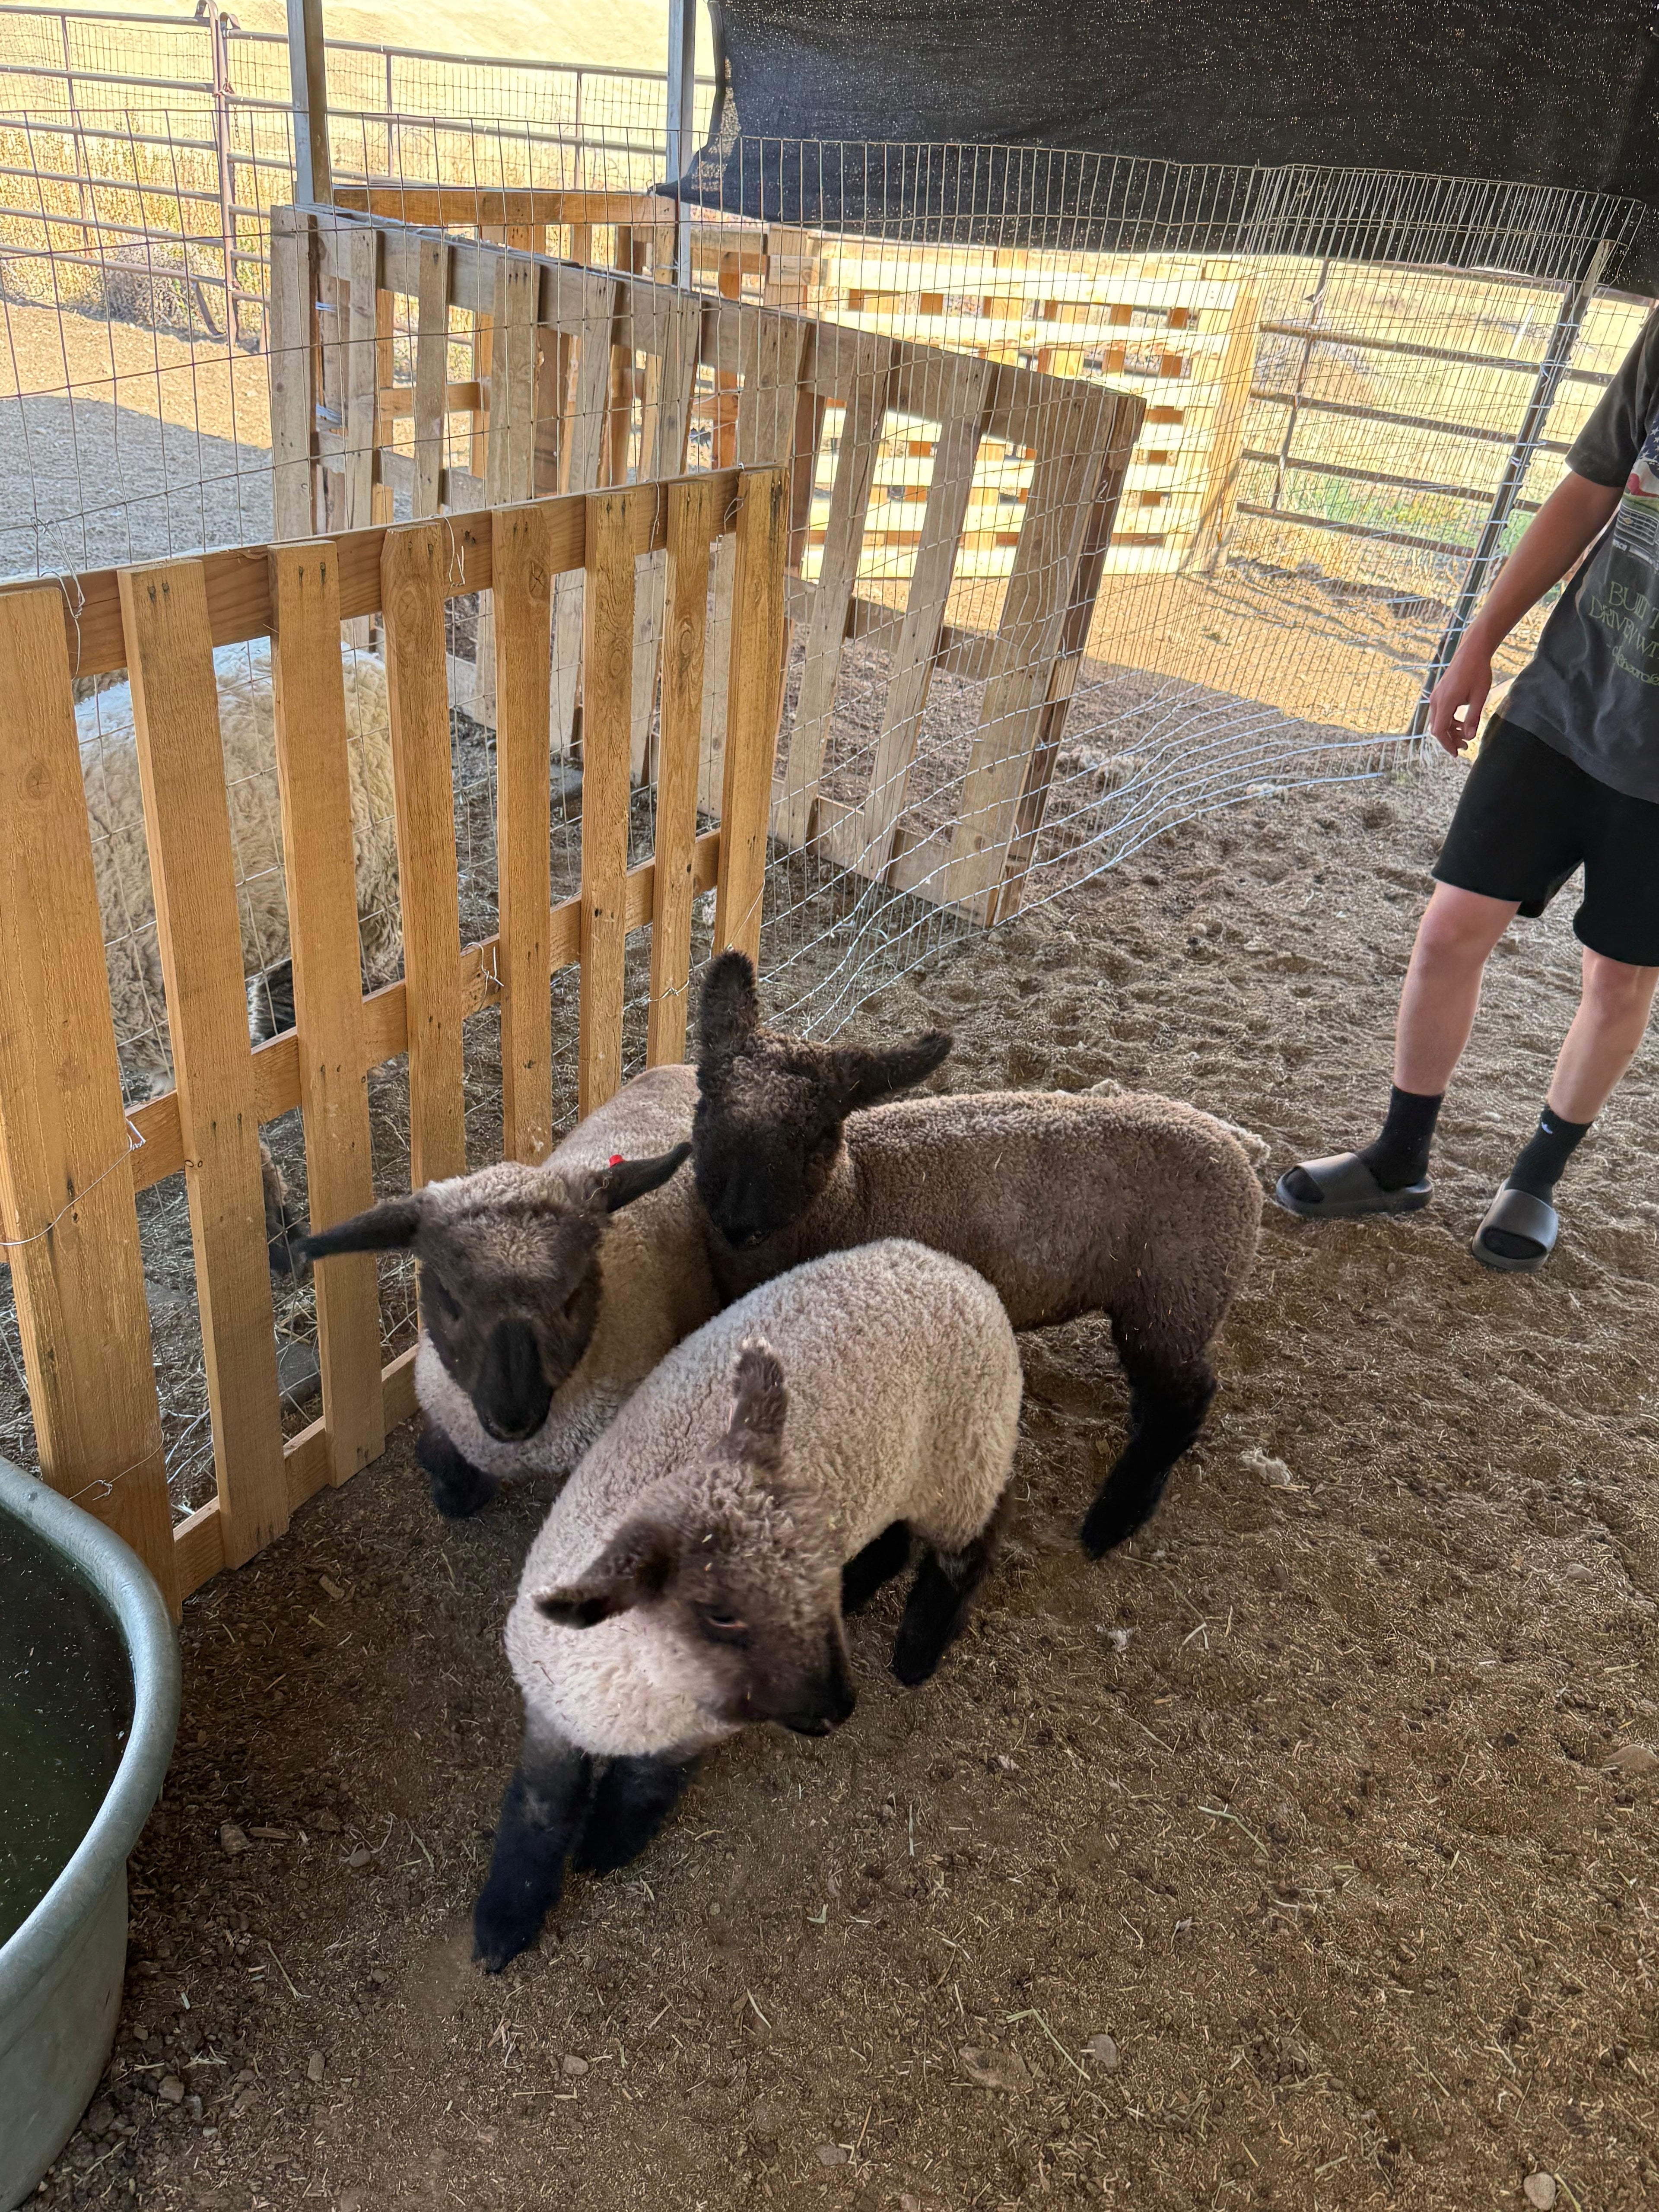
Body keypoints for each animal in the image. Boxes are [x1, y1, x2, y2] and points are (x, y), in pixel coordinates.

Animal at [471, 1236, 1023, 1971]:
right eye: (720, 1613)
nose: (840, 1709)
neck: (637, 1694)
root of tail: (945, 1263)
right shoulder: (552, 1713)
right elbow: (538, 1809)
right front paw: (504, 1922)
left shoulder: (689, 1733)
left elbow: (646, 1787)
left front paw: (608, 1846)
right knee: (901, 1536)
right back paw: (870, 1584)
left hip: (965, 1459)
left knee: (969, 1549)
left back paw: (917, 1652)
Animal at [690, 951, 1262, 1557]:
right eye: (706, 1098)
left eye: (819, 1132)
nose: (740, 1224)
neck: (857, 1192)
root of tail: (1238, 1154)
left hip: (1175, 1294)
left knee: (1183, 1403)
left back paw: (1112, 1521)